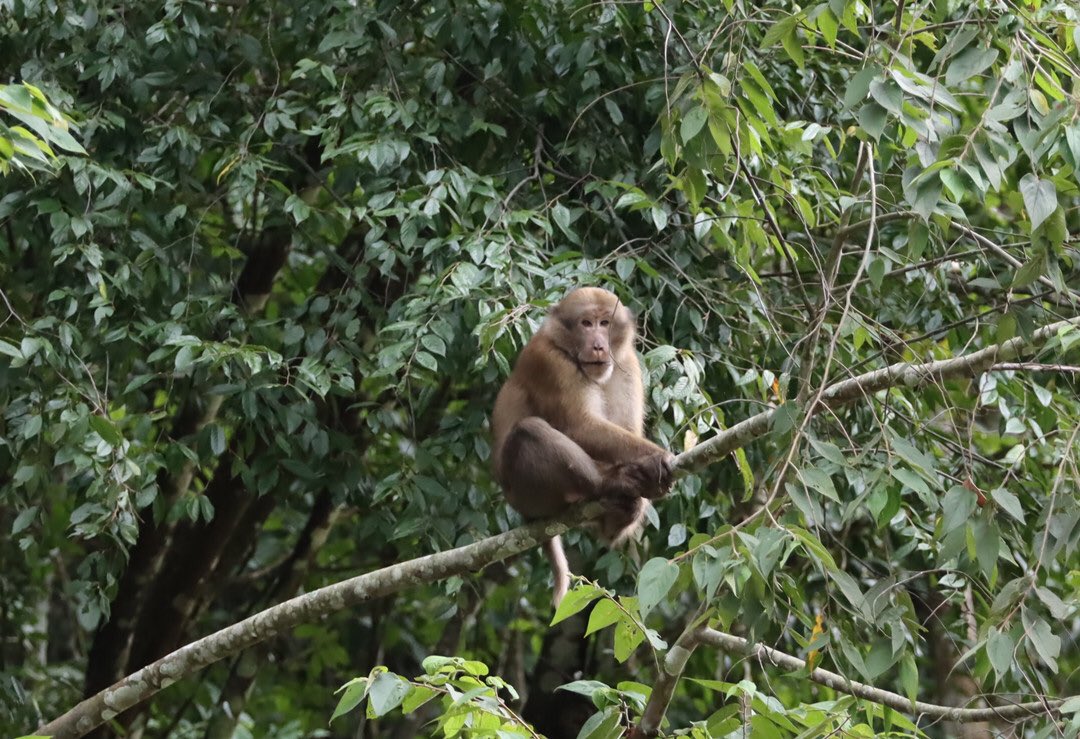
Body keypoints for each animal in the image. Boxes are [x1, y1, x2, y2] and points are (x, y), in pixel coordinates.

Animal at [491, 287, 675, 606]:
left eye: (605, 323)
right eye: (586, 324)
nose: (599, 346)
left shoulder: (627, 363)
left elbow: (626, 429)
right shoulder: (548, 362)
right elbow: (579, 426)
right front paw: (656, 458)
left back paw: (619, 517)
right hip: (527, 494)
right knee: (529, 431)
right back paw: (608, 484)